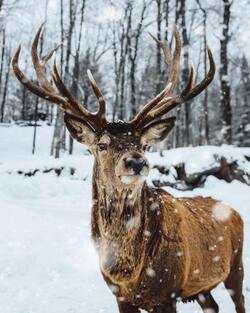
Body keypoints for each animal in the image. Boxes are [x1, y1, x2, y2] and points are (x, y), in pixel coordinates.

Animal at [11, 24, 244, 312]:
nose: (136, 161)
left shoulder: (168, 292)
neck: (128, 272)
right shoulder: (119, 295)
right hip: (202, 287)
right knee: (213, 305)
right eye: (102, 144)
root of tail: (235, 211)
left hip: (236, 266)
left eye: (144, 144)